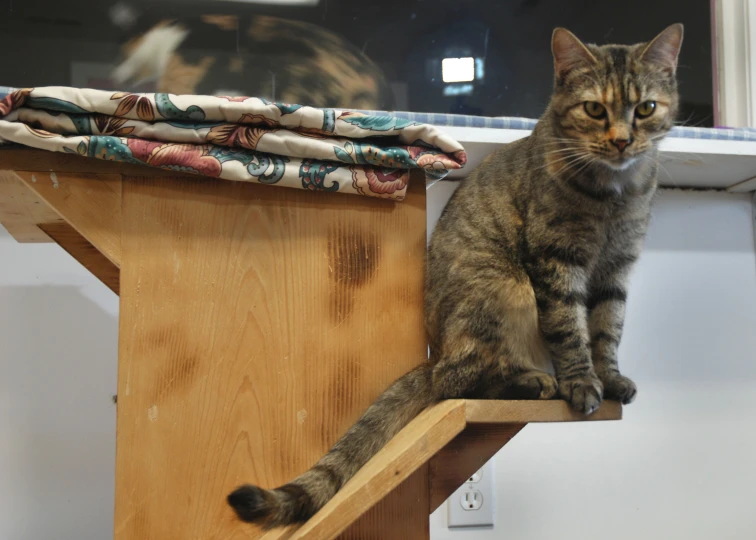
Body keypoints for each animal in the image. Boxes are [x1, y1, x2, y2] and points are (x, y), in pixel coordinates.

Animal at [227, 24, 684, 528]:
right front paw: (582, 383)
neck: (614, 194)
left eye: (646, 108)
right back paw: (532, 382)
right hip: (505, 288)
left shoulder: (616, 268)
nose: (622, 140)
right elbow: (570, 330)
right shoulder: (555, 261)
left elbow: (607, 329)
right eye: (595, 109)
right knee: (457, 381)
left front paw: (610, 377)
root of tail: (435, 353)